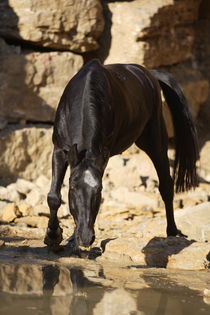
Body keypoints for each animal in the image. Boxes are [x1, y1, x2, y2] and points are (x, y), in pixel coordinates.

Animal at [44, 59, 199, 252]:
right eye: (72, 188)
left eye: (99, 189)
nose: (86, 237)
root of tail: (150, 74)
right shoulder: (59, 150)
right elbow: (54, 197)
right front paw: (53, 237)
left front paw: (62, 237)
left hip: (155, 143)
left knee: (166, 186)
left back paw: (171, 231)